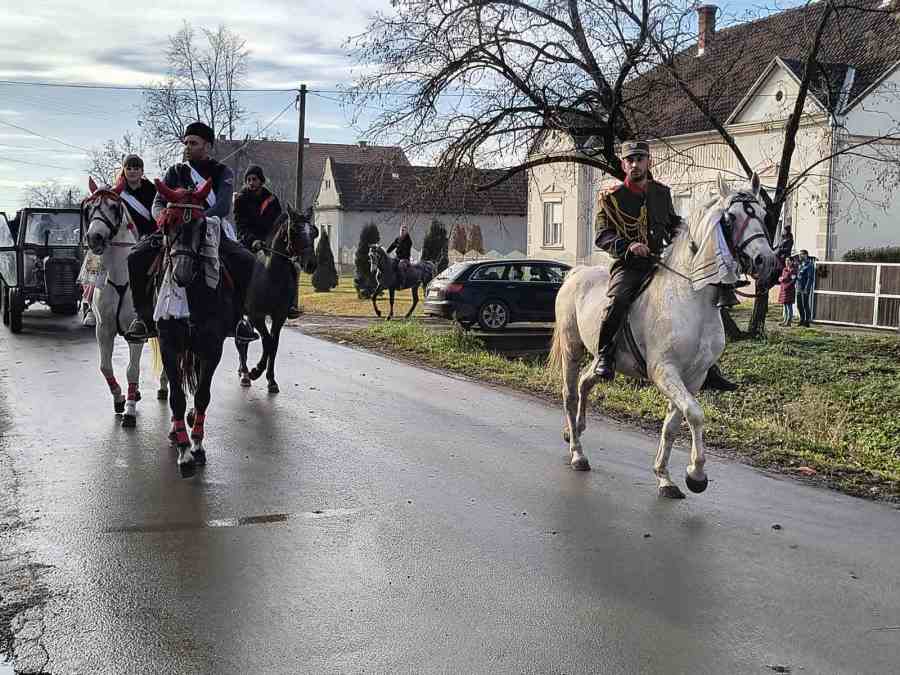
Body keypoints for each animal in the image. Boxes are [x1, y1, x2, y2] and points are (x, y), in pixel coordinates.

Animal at [83, 177, 167, 426]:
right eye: (89, 208)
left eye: (113, 207)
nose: (94, 238)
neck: (121, 277)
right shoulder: (104, 330)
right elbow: (105, 366)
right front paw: (120, 398)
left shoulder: (135, 334)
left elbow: (132, 370)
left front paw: (129, 410)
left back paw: (163, 387)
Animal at [149, 177, 232, 478]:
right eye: (167, 225)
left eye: (200, 226)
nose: (181, 274)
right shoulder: (170, 344)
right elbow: (176, 397)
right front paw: (184, 450)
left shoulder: (212, 346)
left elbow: (202, 394)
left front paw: (197, 443)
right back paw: (177, 431)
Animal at [237, 209, 318, 394]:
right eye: (294, 230)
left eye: (313, 232)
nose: (311, 264)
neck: (272, 276)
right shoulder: (256, 316)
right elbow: (267, 341)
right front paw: (255, 371)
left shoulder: (279, 317)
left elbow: (273, 344)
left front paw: (271, 380)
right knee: (241, 342)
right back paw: (244, 373)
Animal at [544, 174, 776, 500]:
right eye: (730, 218)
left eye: (764, 215)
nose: (764, 260)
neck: (691, 297)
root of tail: (576, 273)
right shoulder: (664, 371)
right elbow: (694, 413)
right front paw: (696, 475)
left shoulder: (694, 376)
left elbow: (673, 424)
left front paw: (665, 477)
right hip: (572, 348)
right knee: (569, 393)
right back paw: (577, 453)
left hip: (604, 357)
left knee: (586, 383)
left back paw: (575, 430)